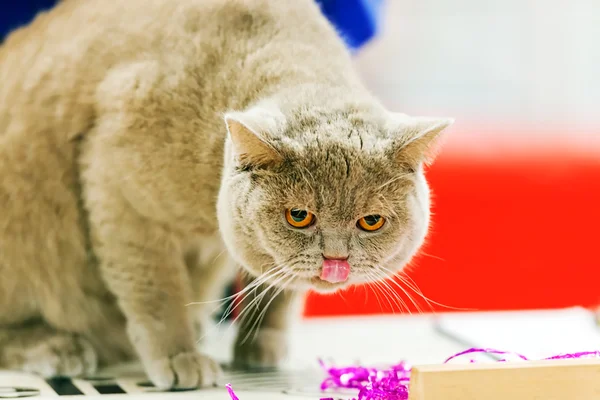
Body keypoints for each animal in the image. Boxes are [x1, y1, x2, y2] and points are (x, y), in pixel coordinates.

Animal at [0, 0, 450, 390]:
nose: (335, 260)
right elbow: (157, 290)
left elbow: (277, 284)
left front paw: (261, 344)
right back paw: (58, 347)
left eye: (370, 221)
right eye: (299, 216)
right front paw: (179, 356)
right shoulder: (118, 191)